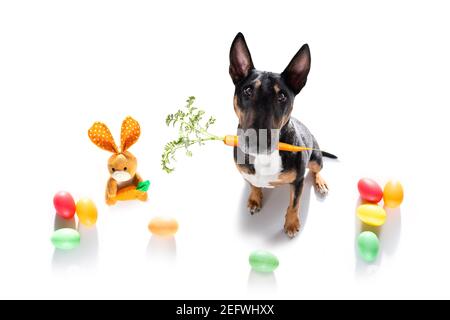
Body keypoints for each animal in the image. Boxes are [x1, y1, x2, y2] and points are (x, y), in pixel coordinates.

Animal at [230, 33, 336, 238]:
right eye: (247, 91)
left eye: (282, 96)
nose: (257, 141)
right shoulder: (246, 172)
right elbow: (253, 184)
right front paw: (255, 199)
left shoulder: (298, 181)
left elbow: (294, 203)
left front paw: (291, 224)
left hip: (315, 157)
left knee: (317, 169)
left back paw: (320, 183)